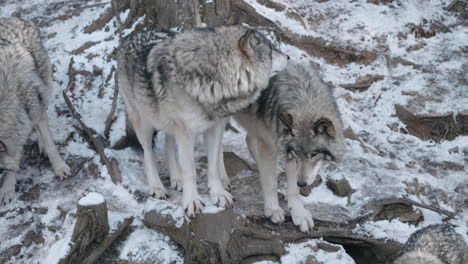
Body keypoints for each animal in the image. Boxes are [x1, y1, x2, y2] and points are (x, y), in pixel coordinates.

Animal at [0, 17, 71, 206]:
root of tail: (12, 18)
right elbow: (13, 157)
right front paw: (7, 188)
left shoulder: (31, 110)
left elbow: (51, 146)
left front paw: (60, 167)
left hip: (44, 90)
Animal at [116, 26, 288, 217]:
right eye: (272, 50)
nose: (289, 57)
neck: (214, 79)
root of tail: (132, 36)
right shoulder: (186, 133)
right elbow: (190, 170)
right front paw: (192, 202)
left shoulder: (215, 128)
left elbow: (213, 167)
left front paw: (219, 194)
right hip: (144, 122)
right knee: (148, 154)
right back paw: (157, 187)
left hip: (169, 124)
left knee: (169, 145)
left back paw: (176, 179)